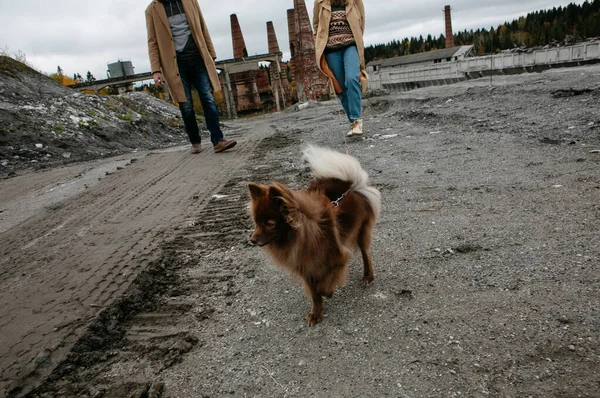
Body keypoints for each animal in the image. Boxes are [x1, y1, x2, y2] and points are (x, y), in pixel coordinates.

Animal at [247, 146, 380, 326]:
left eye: (269, 224)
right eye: (256, 222)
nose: (252, 240)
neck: (300, 237)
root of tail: (350, 184)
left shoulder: (338, 259)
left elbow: (323, 286)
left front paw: (329, 292)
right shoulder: (305, 266)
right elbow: (315, 294)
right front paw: (316, 313)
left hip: (362, 230)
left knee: (366, 253)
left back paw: (368, 276)